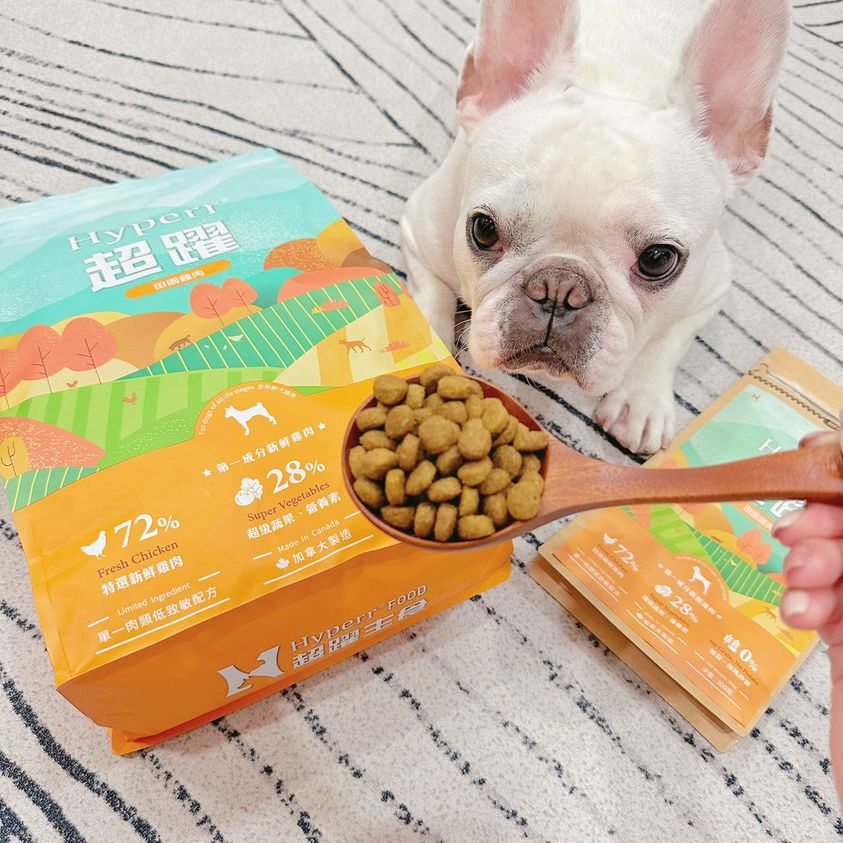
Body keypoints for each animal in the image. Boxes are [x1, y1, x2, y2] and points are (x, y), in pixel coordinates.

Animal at [401, 0, 790, 454]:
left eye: (659, 259)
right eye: (484, 230)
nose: (558, 289)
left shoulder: (711, 285)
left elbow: (668, 338)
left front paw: (641, 400)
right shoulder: (420, 233)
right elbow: (432, 298)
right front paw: (429, 341)